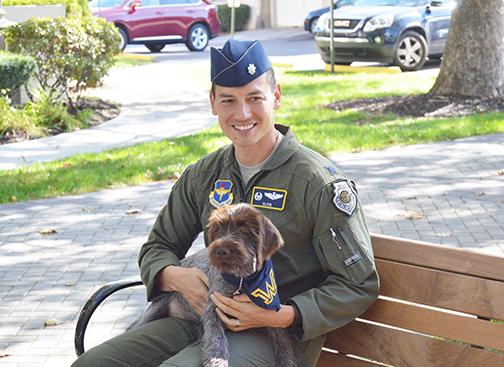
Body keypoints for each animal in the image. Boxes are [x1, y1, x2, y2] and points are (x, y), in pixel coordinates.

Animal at [128, 204, 298, 367]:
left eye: (244, 229)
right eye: (218, 229)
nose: (221, 250)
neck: (241, 280)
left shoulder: (269, 310)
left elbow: (281, 337)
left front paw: (287, 361)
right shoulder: (213, 308)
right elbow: (216, 339)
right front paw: (217, 361)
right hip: (154, 311)